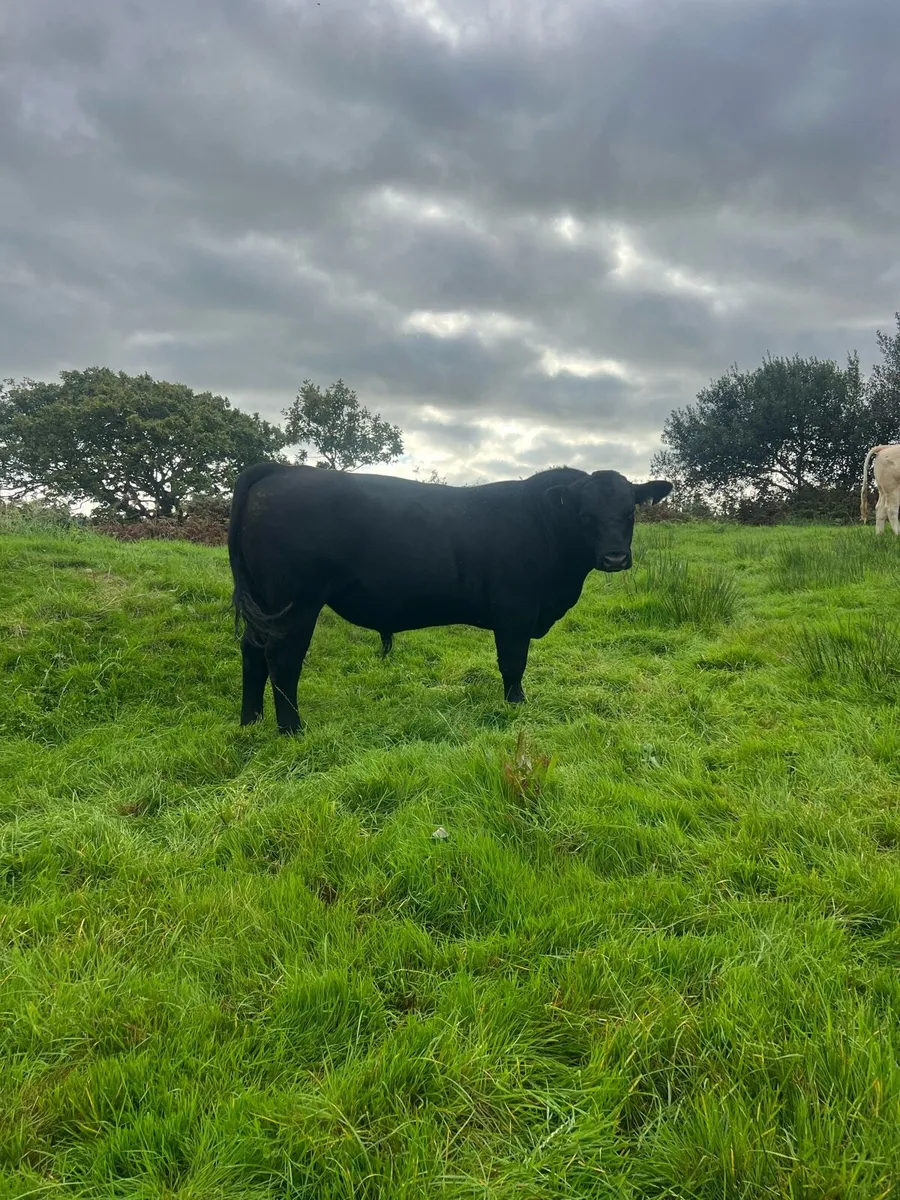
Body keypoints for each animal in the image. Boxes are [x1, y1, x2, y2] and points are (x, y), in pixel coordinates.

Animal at [228, 462, 673, 733]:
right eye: (585, 515)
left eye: (630, 511)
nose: (615, 557)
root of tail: (280, 470)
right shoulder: (516, 611)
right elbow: (513, 663)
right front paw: (516, 704)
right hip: (295, 604)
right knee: (282, 659)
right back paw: (291, 729)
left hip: (265, 605)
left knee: (252, 652)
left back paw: (250, 720)